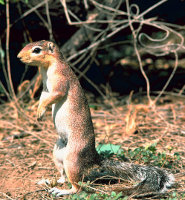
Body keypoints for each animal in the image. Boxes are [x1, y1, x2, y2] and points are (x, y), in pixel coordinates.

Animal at [17, 40, 175, 197]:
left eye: (36, 50)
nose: (19, 57)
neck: (48, 67)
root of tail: (93, 158)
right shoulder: (45, 88)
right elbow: (43, 97)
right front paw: (38, 112)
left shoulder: (60, 80)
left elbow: (55, 95)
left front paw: (40, 110)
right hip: (57, 154)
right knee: (63, 176)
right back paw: (50, 181)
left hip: (72, 160)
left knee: (78, 187)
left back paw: (62, 191)